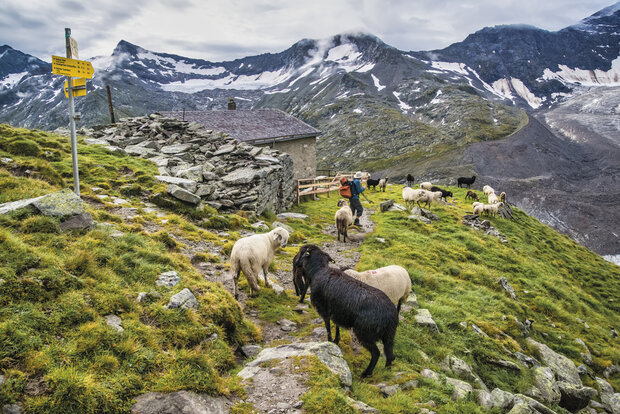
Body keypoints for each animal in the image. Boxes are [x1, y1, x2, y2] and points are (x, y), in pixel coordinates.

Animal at [294, 244, 400, 376]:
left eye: (301, 252)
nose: (295, 263)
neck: (317, 271)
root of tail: (391, 315)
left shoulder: (324, 309)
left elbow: (328, 327)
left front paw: (330, 341)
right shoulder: (337, 312)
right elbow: (337, 325)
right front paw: (336, 340)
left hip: (365, 332)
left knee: (376, 353)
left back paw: (366, 373)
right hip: (389, 335)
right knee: (390, 354)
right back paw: (386, 372)